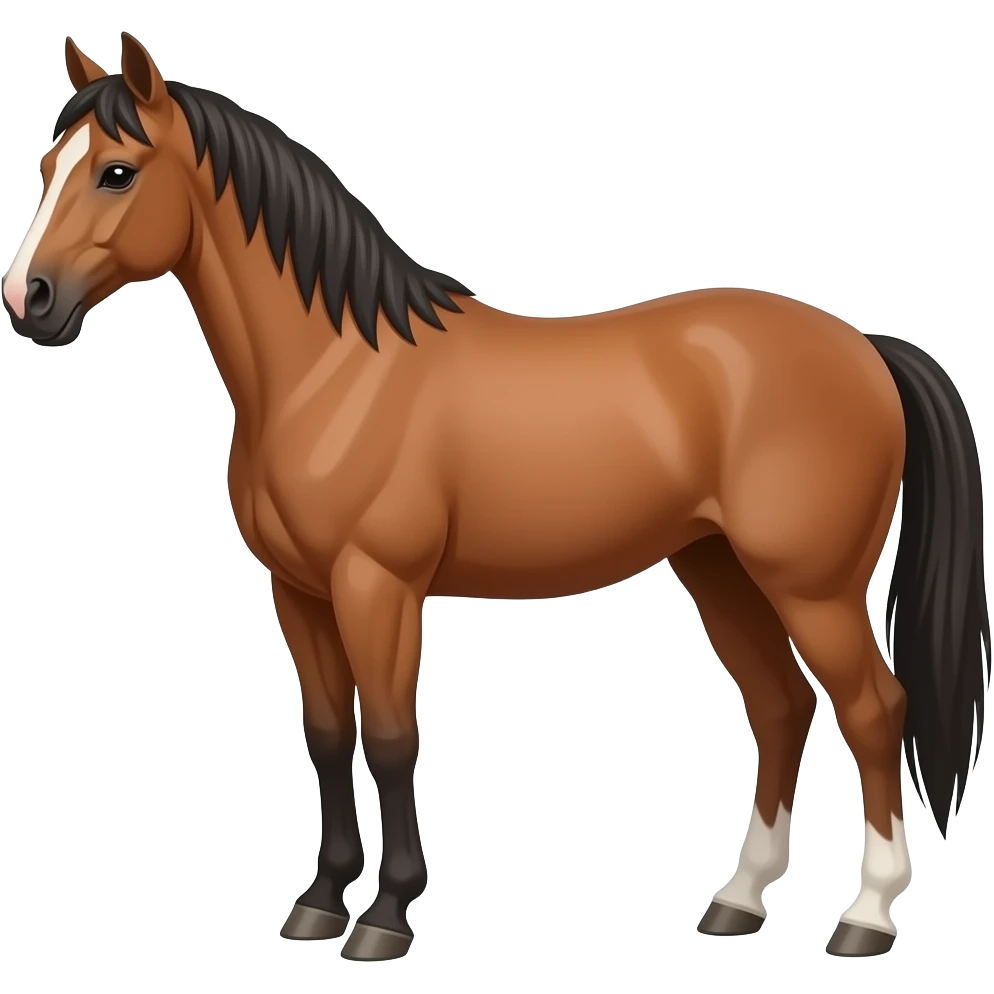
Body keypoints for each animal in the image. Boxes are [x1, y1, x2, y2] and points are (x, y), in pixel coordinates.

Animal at [2, 32, 989, 962]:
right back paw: (739, 901)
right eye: (46, 168)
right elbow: (327, 735)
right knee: (780, 706)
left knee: (874, 710)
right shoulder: (300, 591)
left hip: (811, 586)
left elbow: (391, 737)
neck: (333, 371)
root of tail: (864, 347)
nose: (29, 299)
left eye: (117, 171)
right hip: (719, 569)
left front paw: (385, 918)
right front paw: (319, 903)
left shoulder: (378, 587)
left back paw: (866, 916)